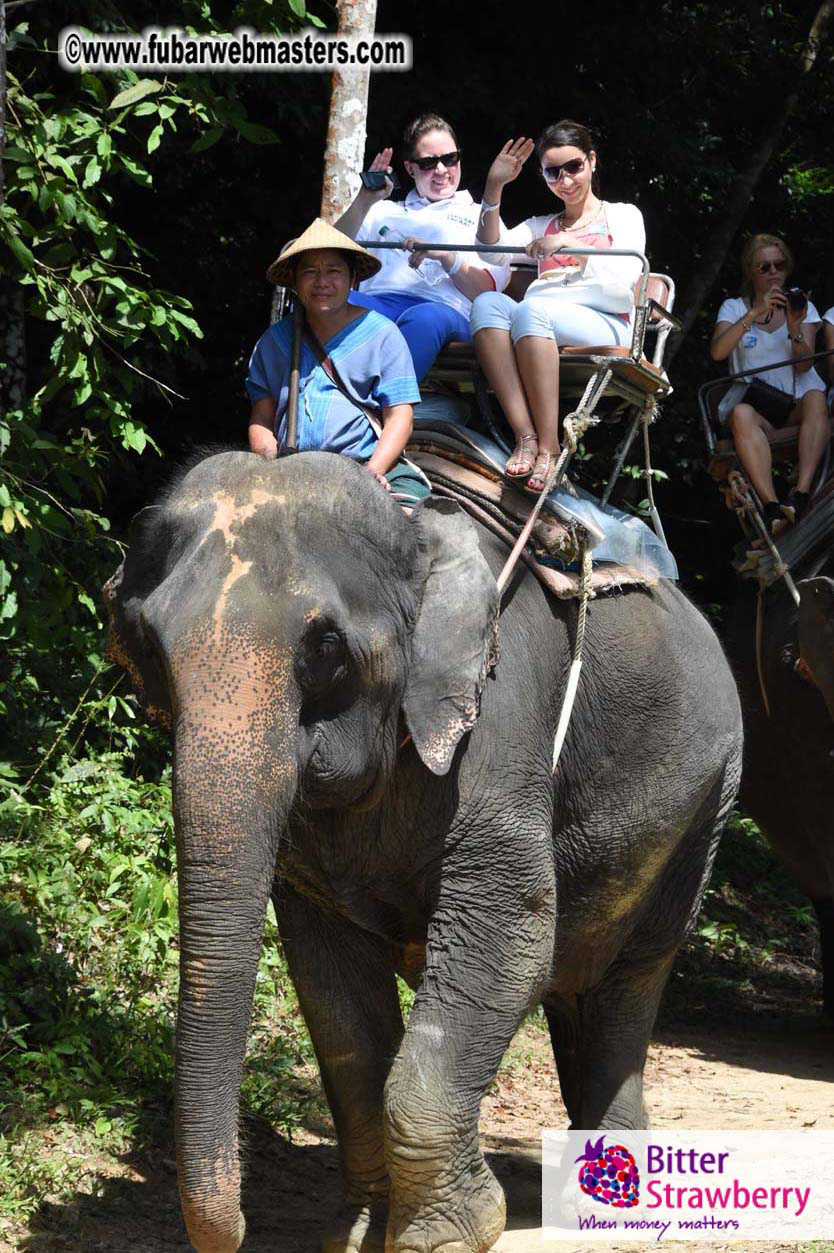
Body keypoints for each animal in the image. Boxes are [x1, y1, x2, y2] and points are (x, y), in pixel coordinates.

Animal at [104, 448, 743, 1253]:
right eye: (148, 646)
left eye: (325, 649)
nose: (241, 1226)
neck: (415, 535)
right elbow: (336, 999)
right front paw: (356, 1234)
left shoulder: (500, 718)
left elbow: (513, 930)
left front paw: (444, 1236)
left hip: (709, 799)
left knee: (627, 979)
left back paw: (612, 1198)